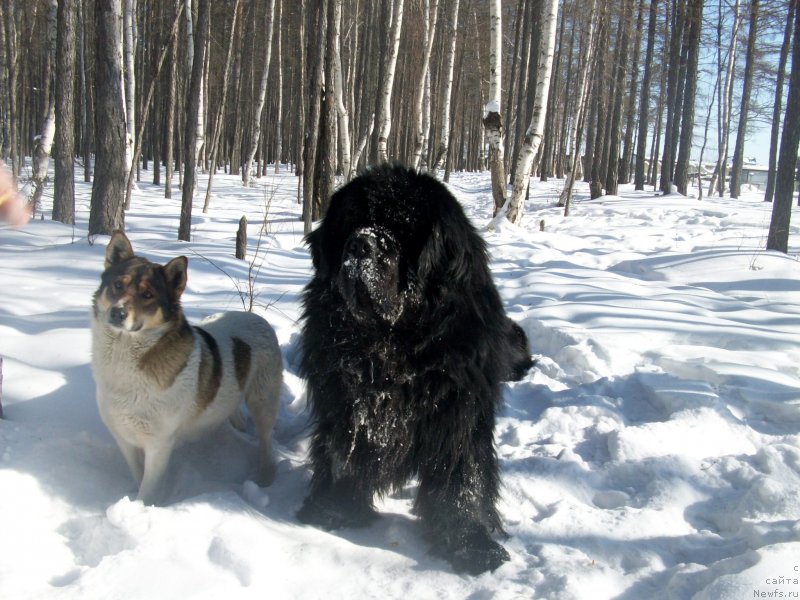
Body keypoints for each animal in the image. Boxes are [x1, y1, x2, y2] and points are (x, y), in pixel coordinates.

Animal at [92, 232, 284, 504]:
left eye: (147, 295)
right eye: (118, 285)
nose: (117, 313)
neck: (124, 358)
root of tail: (257, 317)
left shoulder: (158, 444)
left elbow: (147, 489)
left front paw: (141, 508)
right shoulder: (123, 438)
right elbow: (137, 476)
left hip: (263, 402)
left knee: (266, 441)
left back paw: (266, 476)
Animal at [294, 165, 532, 576]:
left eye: (403, 229)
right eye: (351, 221)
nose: (363, 244)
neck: (393, 342)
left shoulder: (459, 412)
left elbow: (462, 477)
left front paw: (471, 544)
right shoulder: (348, 404)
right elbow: (343, 456)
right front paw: (334, 509)